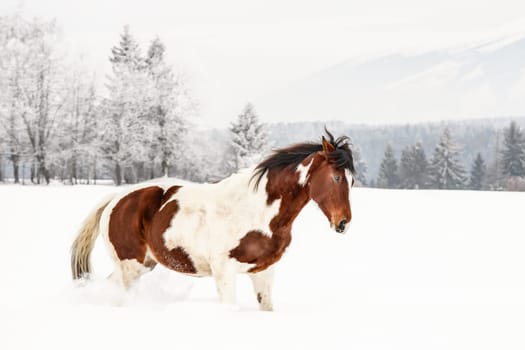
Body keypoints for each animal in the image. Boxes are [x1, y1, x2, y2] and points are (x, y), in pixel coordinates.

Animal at [70, 130, 356, 310]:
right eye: (336, 177)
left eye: (352, 181)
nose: (343, 223)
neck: (257, 211)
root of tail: (115, 199)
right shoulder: (224, 272)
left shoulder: (264, 271)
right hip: (130, 267)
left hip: (140, 266)